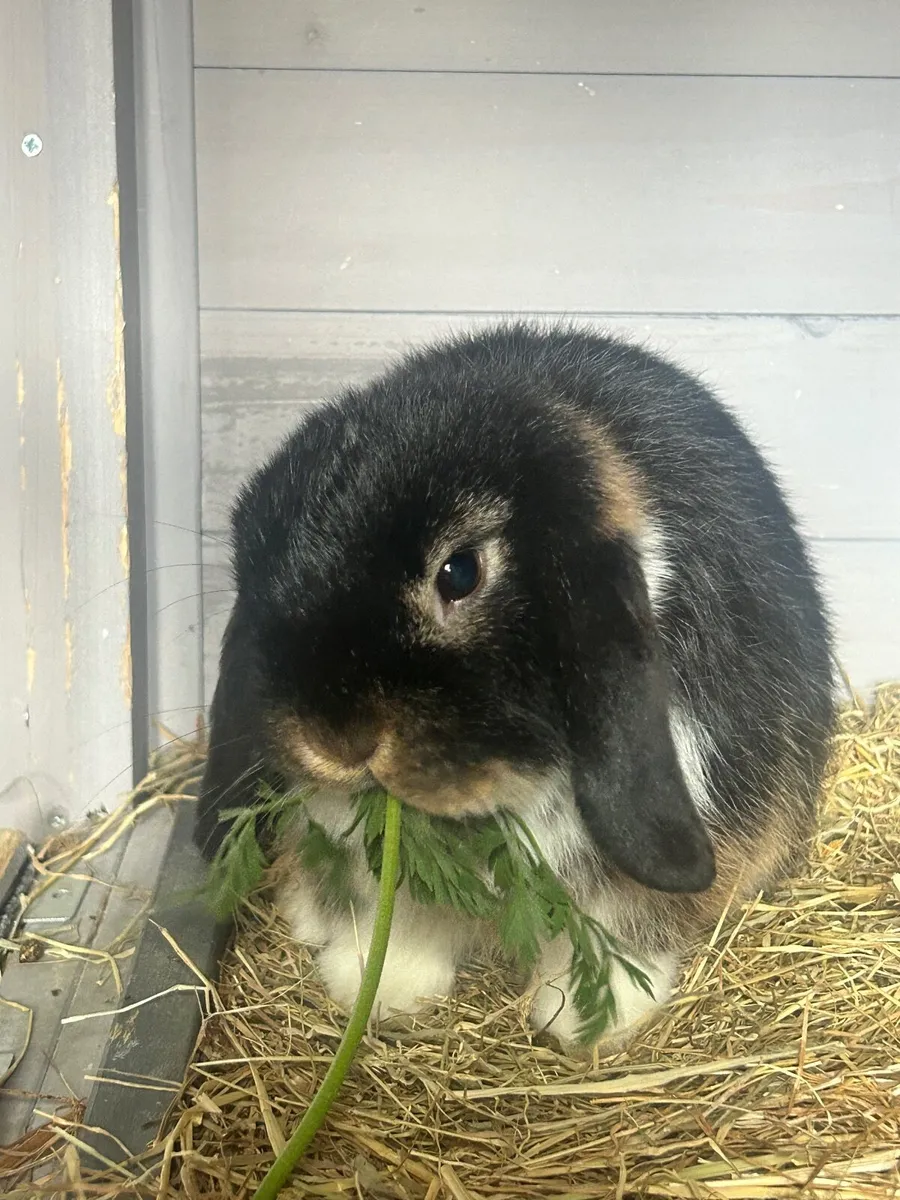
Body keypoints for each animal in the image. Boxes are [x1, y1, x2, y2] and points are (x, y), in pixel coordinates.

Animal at [194, 322, 835, 1052]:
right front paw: (379, 988)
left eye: (460, 572)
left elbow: (622, 924)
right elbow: (404, 920)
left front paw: (587, 1021)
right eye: (256, 570)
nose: (336, 741)